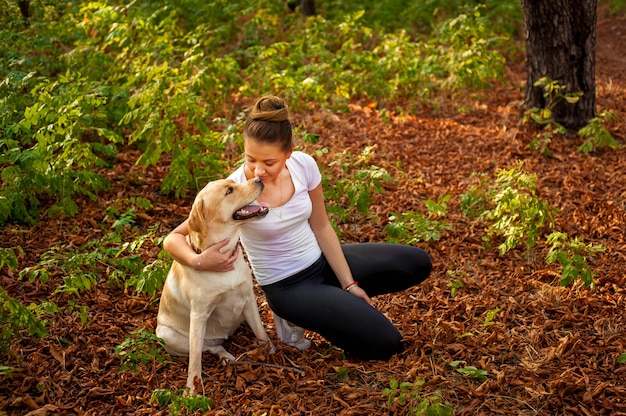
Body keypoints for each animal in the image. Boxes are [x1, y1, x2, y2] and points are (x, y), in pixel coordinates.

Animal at [155, 177, 272, 392]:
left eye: (234, 182)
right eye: (229, 191)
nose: (259, 178)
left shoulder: (248, 298)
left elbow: (261, 332)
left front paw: (272, 351)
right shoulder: (199, 315)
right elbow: (195, 358)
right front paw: (193, 387)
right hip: (167, 334)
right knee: (208, 347)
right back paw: (224, 356)